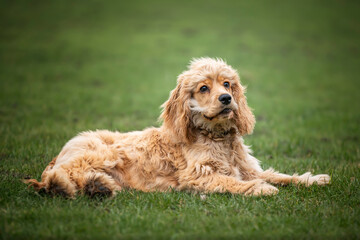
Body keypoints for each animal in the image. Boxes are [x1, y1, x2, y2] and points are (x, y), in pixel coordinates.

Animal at [24, 57, 330, 197]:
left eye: (227, 84)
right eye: (204, 88)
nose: (226, 98)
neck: (217, 138)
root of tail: (57, 156)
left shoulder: (249, 168)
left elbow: (280, 175)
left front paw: (313, 179)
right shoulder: (197, 176)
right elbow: (232, 181)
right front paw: (261, 188)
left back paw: (98, 186)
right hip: (101, 152)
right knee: (60, 178)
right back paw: (84, 186)